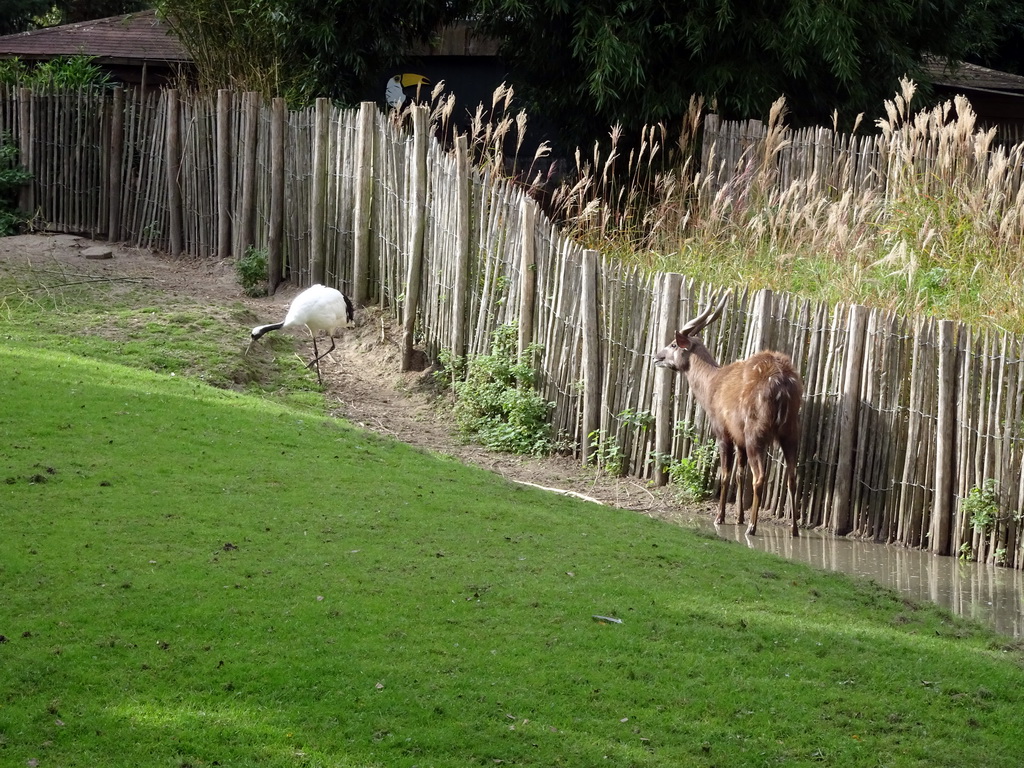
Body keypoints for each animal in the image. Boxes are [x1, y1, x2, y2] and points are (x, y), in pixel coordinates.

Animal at [651, 290, 802, 536]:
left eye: (673, 344)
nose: (656, 357)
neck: (713, 384)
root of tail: (783, 384)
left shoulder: (723, 433)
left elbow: (724, 474)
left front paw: (720, 517)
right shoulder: (739, 439)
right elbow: (739, 474)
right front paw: (738, 517)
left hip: (756, 435)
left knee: (760, 476)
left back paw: (752, 527)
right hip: (789, 433)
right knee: (791, 475)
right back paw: (794, 529)